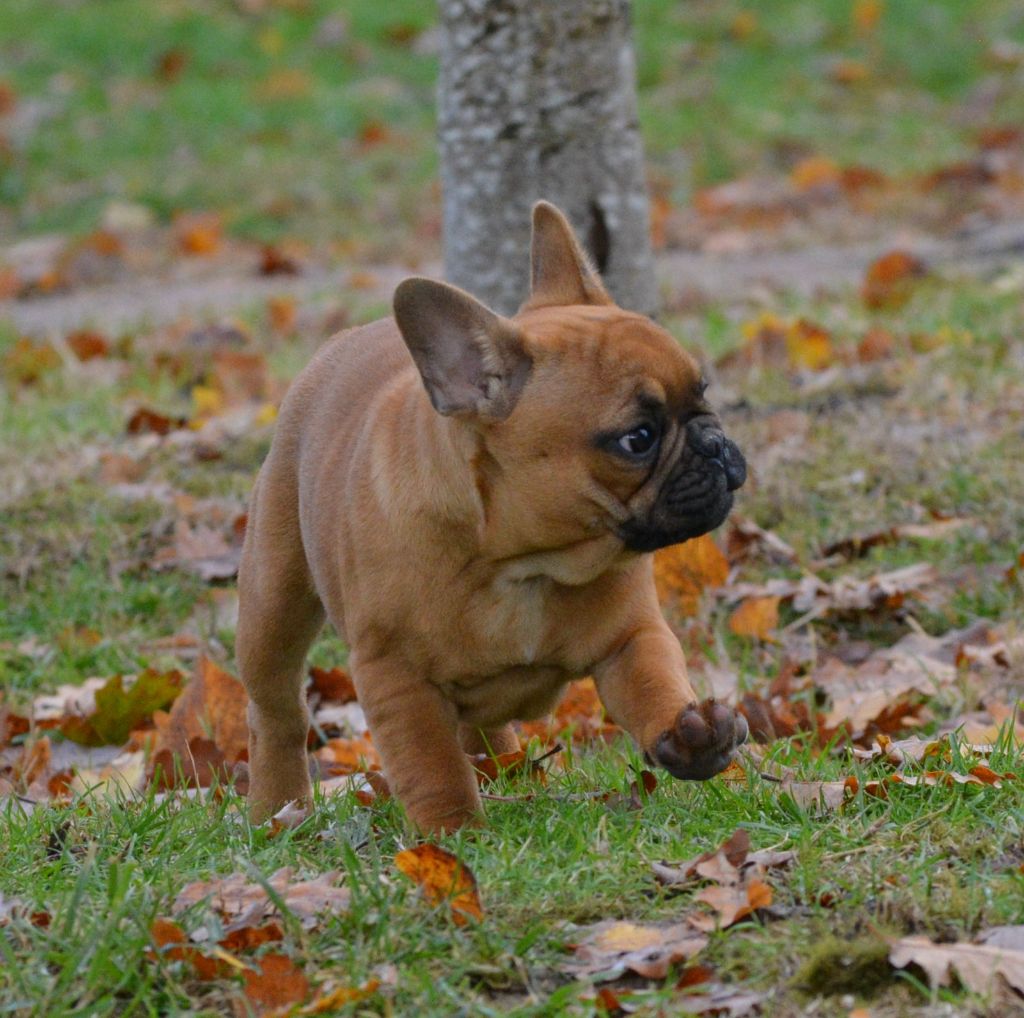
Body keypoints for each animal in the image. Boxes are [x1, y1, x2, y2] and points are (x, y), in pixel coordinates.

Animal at [235, 202, 749, 827]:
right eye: (639, 438)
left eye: (704, 392)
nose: (716, 444)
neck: (523, 560)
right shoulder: (396, 678)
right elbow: (431, 765)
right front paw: (451, 831)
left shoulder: (632, 636)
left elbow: (655, 681)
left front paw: (691, 735)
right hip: (273, 602)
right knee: (277, 710)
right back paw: (276, 808)